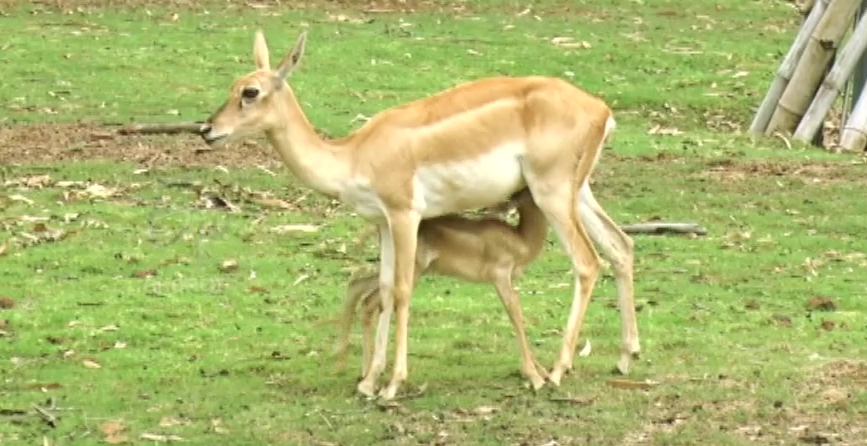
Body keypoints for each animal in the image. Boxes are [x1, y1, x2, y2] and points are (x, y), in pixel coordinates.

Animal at [200, 31, 640, 400]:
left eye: (251, 91)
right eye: (232, 85)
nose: (208, 129)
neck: (354, 155)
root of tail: (601, 110)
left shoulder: (404, 214)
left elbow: (400, 290)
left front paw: (392, 384)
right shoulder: (381, 222)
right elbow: (382, 287)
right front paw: (368, 381)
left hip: (552, 192)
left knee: (587, 262)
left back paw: (557, 370)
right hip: (577, 191)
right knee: (621, 245)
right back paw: (625, 357)